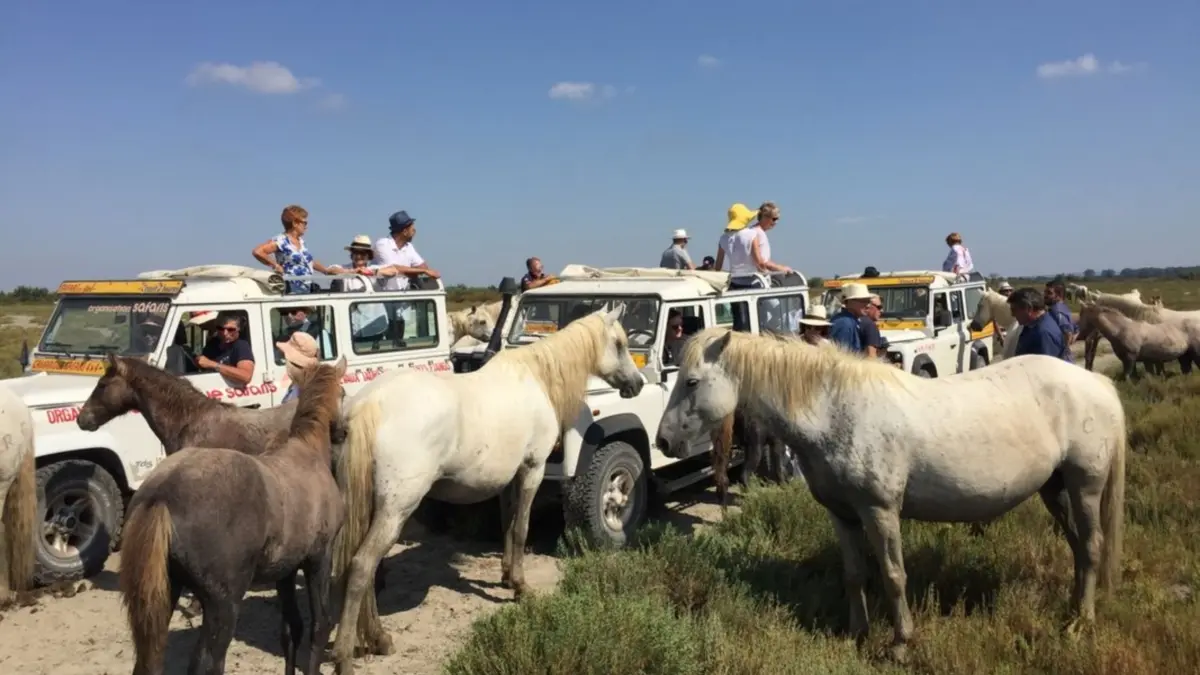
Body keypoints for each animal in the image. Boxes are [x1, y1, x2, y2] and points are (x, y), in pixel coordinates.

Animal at [328, 307, 648, 667]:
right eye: (620, 343)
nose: (637, 384)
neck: (537, 378)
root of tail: (366, 405)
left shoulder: (508, 479)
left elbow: (508, 527)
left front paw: (507, 576)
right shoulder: (533, 470)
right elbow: (521, 529)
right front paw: (521, 588)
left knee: (363, 569)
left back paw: (377, 639)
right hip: (395, 510)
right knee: (361, 566)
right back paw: (345, 655)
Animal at [657, 329, 1123, 658]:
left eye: (692, 382)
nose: (663, 441)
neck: (835, 412)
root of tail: (1096, 382)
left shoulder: (880, 512)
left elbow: (893, 575)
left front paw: (900, 643)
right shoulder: (842, 515)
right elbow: (855, 575)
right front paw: (857, 634)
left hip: (1084, 485)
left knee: (1093, 546)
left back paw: (1081, 623)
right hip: (1054, 489)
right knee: (1079, 548)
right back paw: (1072, 608)